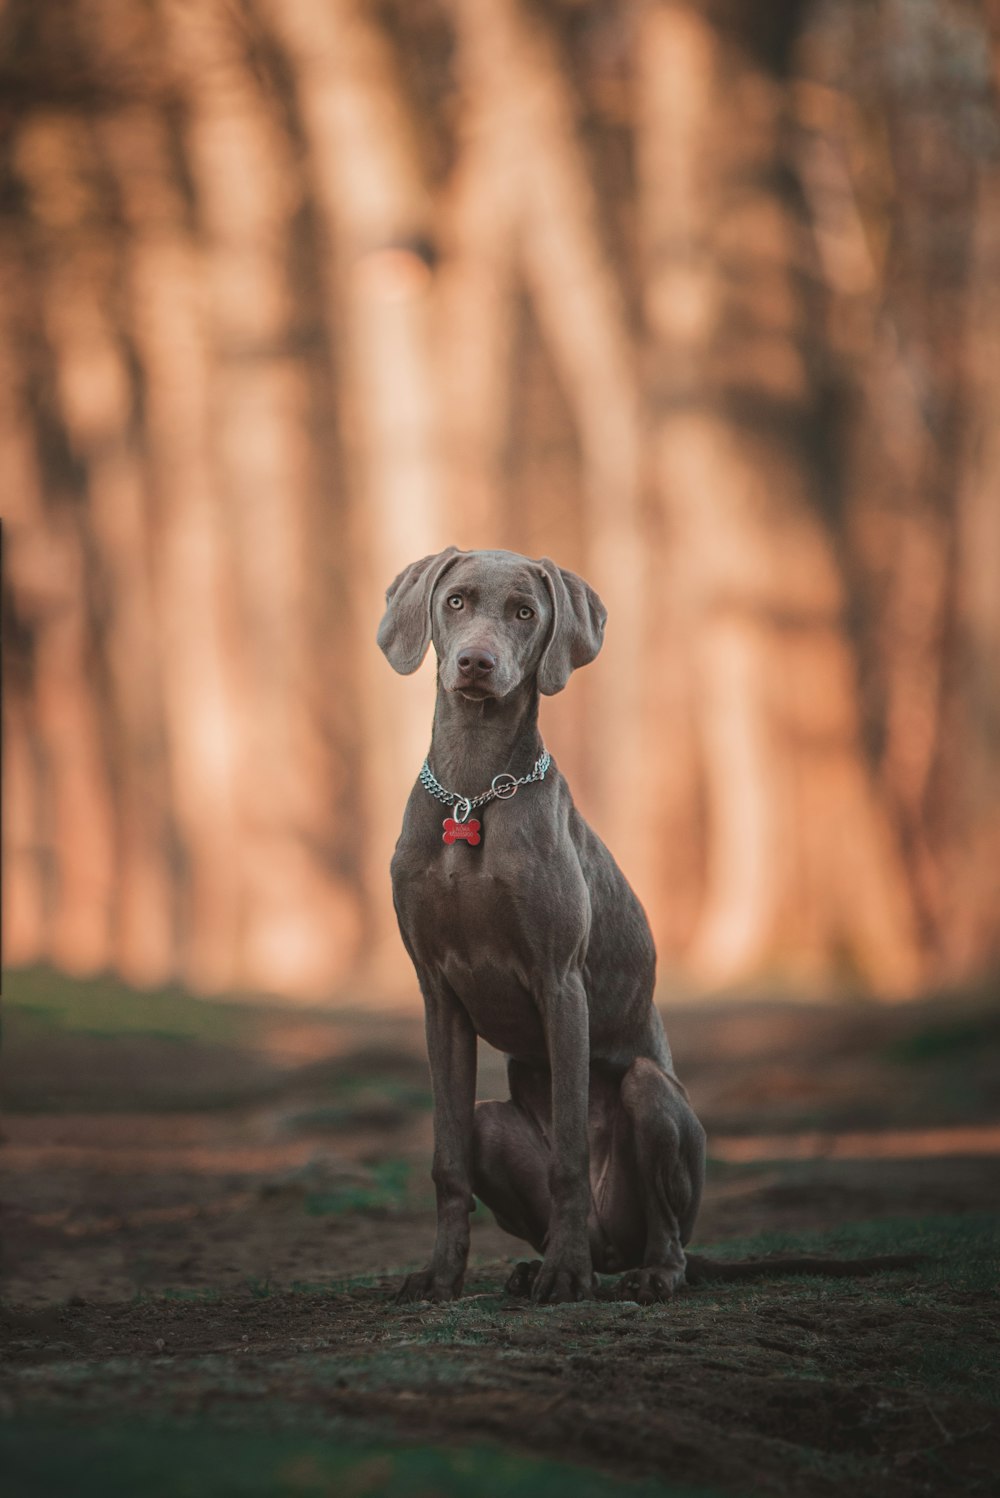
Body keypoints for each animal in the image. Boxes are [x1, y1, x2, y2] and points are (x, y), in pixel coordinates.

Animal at [378, 548, 706, 1300]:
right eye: (457, 601)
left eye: (525, 613)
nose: (475, 663)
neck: (472, 793)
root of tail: (615, 1244)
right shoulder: (438, 995)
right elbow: (445, 1160)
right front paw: (441, 1275)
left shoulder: (561, 982)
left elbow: (570, 1154)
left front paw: (564, 1275)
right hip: (493, 1123)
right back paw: (538, 1263)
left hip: (653, 1097)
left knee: (664, 1227)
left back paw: (636, 1270)